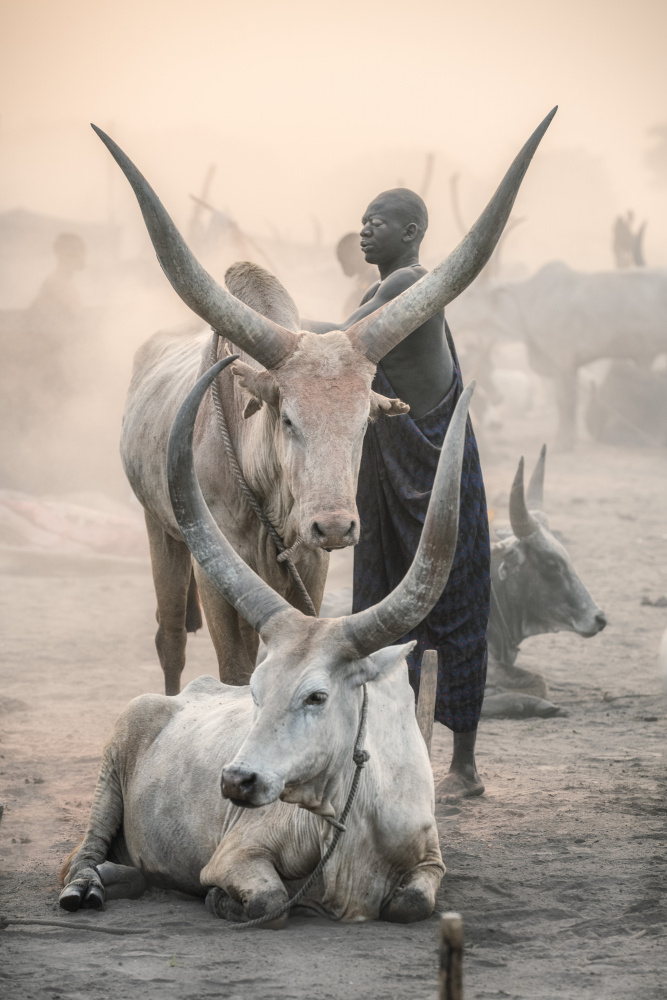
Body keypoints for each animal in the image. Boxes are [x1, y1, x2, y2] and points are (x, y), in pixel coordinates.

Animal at [58, 358, 474, 920]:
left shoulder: (430, 861)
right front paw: (221, 900)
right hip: (110, 770)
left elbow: (411, 903)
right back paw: (87, 886)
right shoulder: (237, 853)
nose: (236, 780)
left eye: (317, 696)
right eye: (253, 692)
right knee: (81, 853)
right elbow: (269, 899)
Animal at [91, 105, 556, 692]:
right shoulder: (216, 568)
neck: (266, 486)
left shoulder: (311, 564)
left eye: (363, 424)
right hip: (160, 527)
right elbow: (234, 668)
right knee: (170, 635)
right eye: (288, 419)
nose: (334, 525)